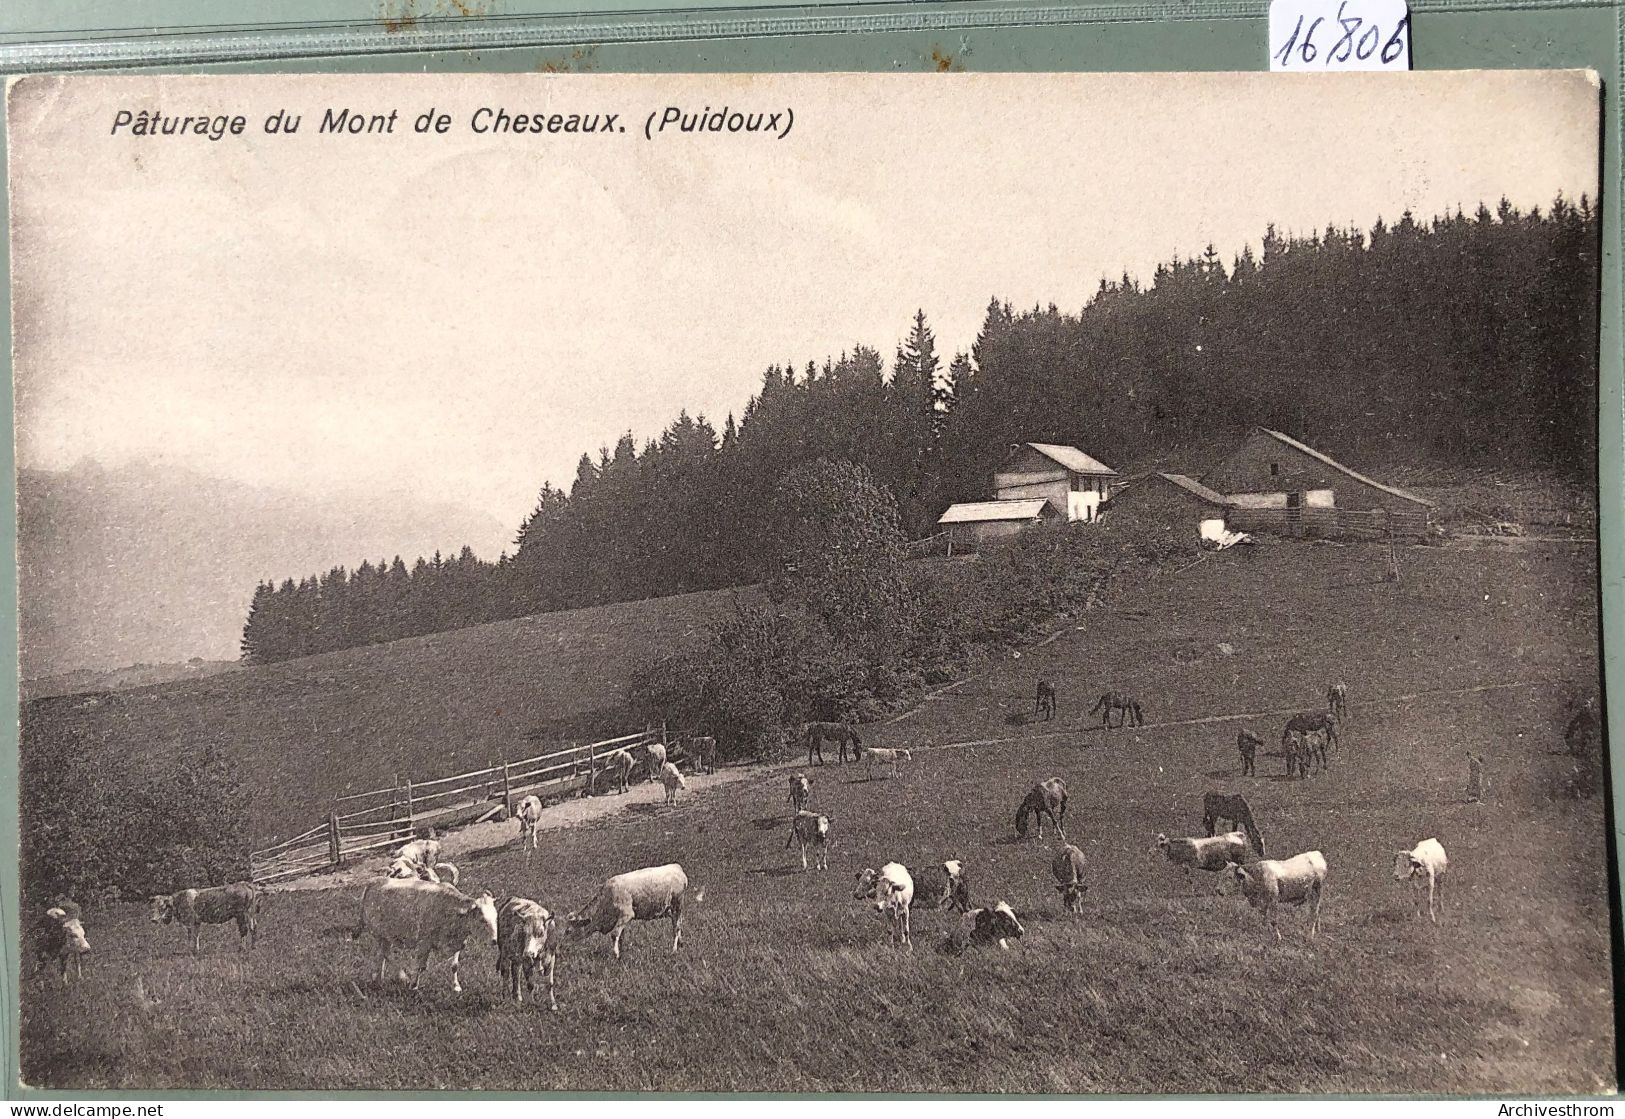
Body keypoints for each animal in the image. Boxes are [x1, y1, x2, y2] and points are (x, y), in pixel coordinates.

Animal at [346, 877, 490, 993]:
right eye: (482, 919)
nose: (494, 940)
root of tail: (372, 882)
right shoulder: (424, 942)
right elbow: (420, 966)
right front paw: (413, 985)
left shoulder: (457, 942)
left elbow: (454, 966)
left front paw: (456, 987)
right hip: (379, 933)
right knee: (386, 954)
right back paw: (402, 977)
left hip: (385, 936)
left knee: (382, 954)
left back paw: (378, 980)